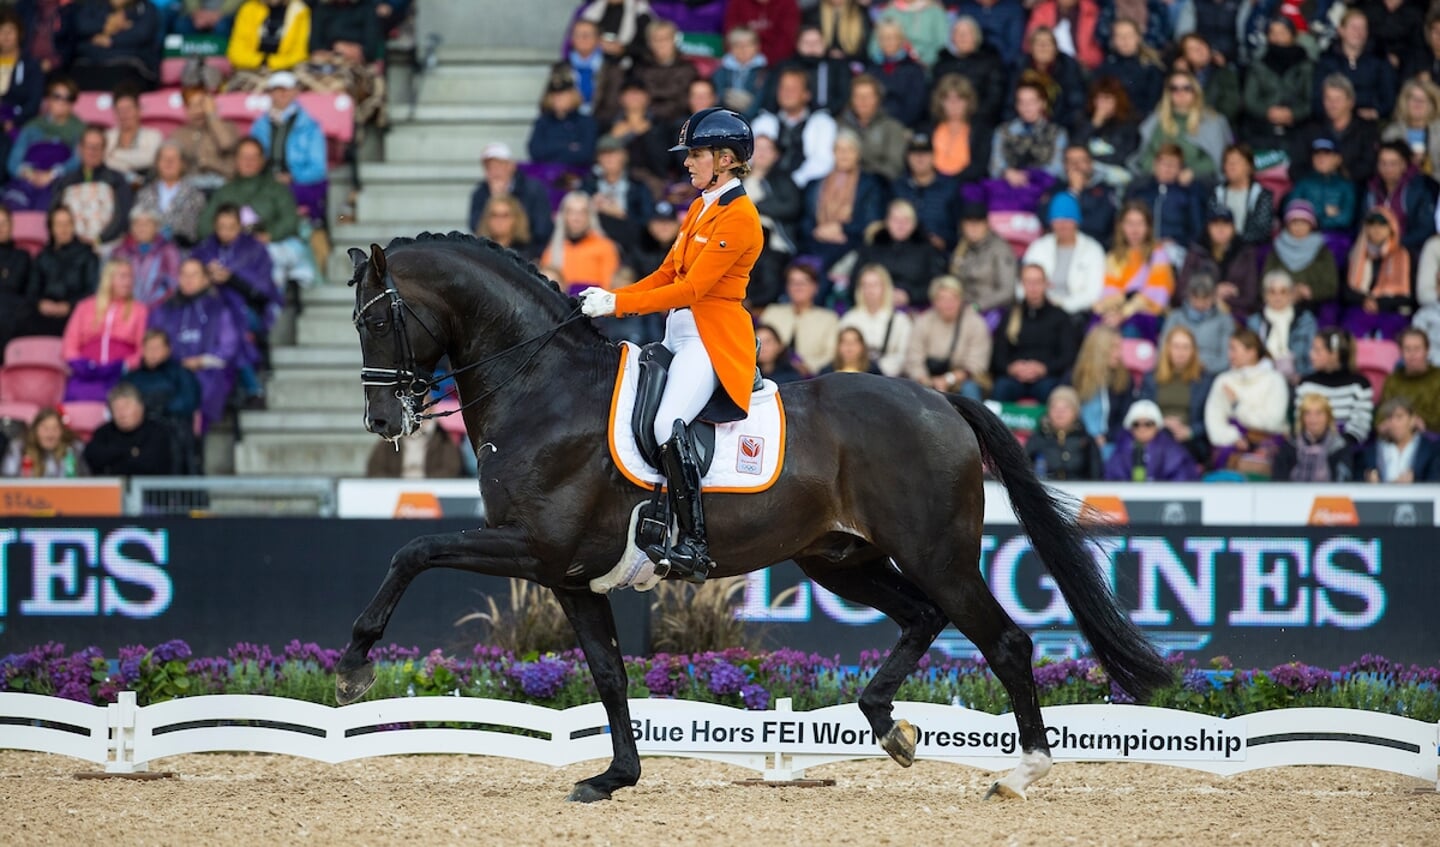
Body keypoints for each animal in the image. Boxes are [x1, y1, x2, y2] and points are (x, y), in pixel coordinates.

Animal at [336, 234, 1169, 806]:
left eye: (377, 322)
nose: (382, 420)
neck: (540, 385)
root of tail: (940, 399)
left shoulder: (533, 546)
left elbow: (415, 550)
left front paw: (352, 667)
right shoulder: (569, 574)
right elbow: (607, 672)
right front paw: (616, 775)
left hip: (938, 555)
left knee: (1004, 640)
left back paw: (1020, 772)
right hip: (839, 559)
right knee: (922, 618)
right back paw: (888, 724)